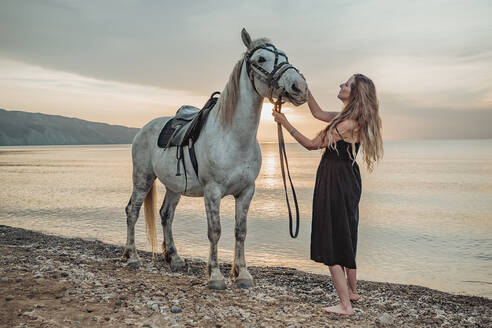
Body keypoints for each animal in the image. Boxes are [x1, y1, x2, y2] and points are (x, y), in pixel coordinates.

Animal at [123, 29, 308, 288]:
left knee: (166, 215)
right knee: (133, 211)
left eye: (284, 56)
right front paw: (216, 276)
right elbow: (215, 231)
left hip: (174, 186)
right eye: (261, 59)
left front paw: (242, 274)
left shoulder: (246, 192)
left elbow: (241, 231)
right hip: (143, 178)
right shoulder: (213, 192)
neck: (233, 137)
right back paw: (132, 257)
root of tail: (144, 128)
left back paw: (174, 257)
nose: (299, 86)